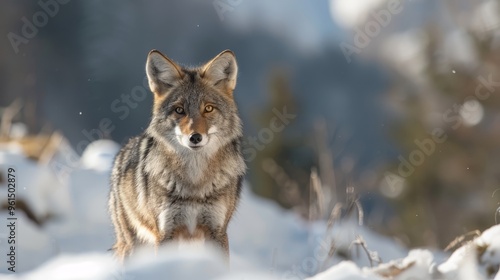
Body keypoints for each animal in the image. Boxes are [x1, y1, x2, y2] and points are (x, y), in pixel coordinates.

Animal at [108, 49, 245, 262]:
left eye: (208, 108)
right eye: (179, 110)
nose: (195, 137)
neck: (195, 183)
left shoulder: (217, 231)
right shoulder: (166, 232)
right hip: (134, 245)